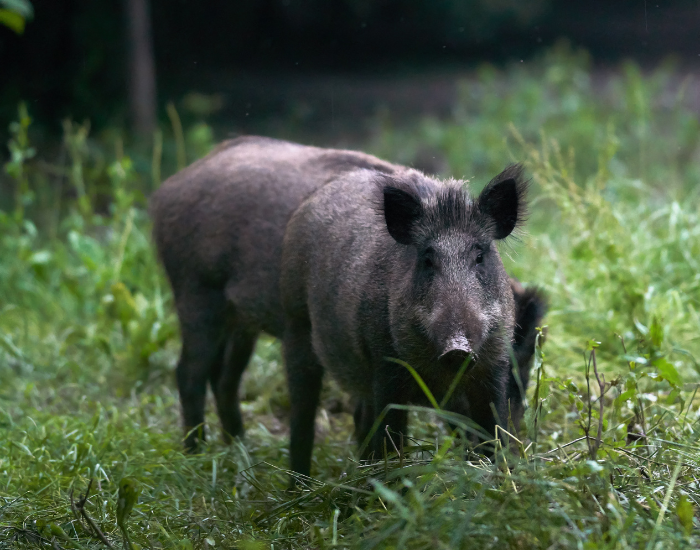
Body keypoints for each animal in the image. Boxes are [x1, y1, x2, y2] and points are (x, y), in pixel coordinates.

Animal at [150, 136, 546, 475]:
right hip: (197, 294)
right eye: (427, 261)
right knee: (189, 373)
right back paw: (197, 457)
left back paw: (239, 451)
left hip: (240, 321)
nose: (518, 449)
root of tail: (168, 188)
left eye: (528, 361)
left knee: (224, 378)